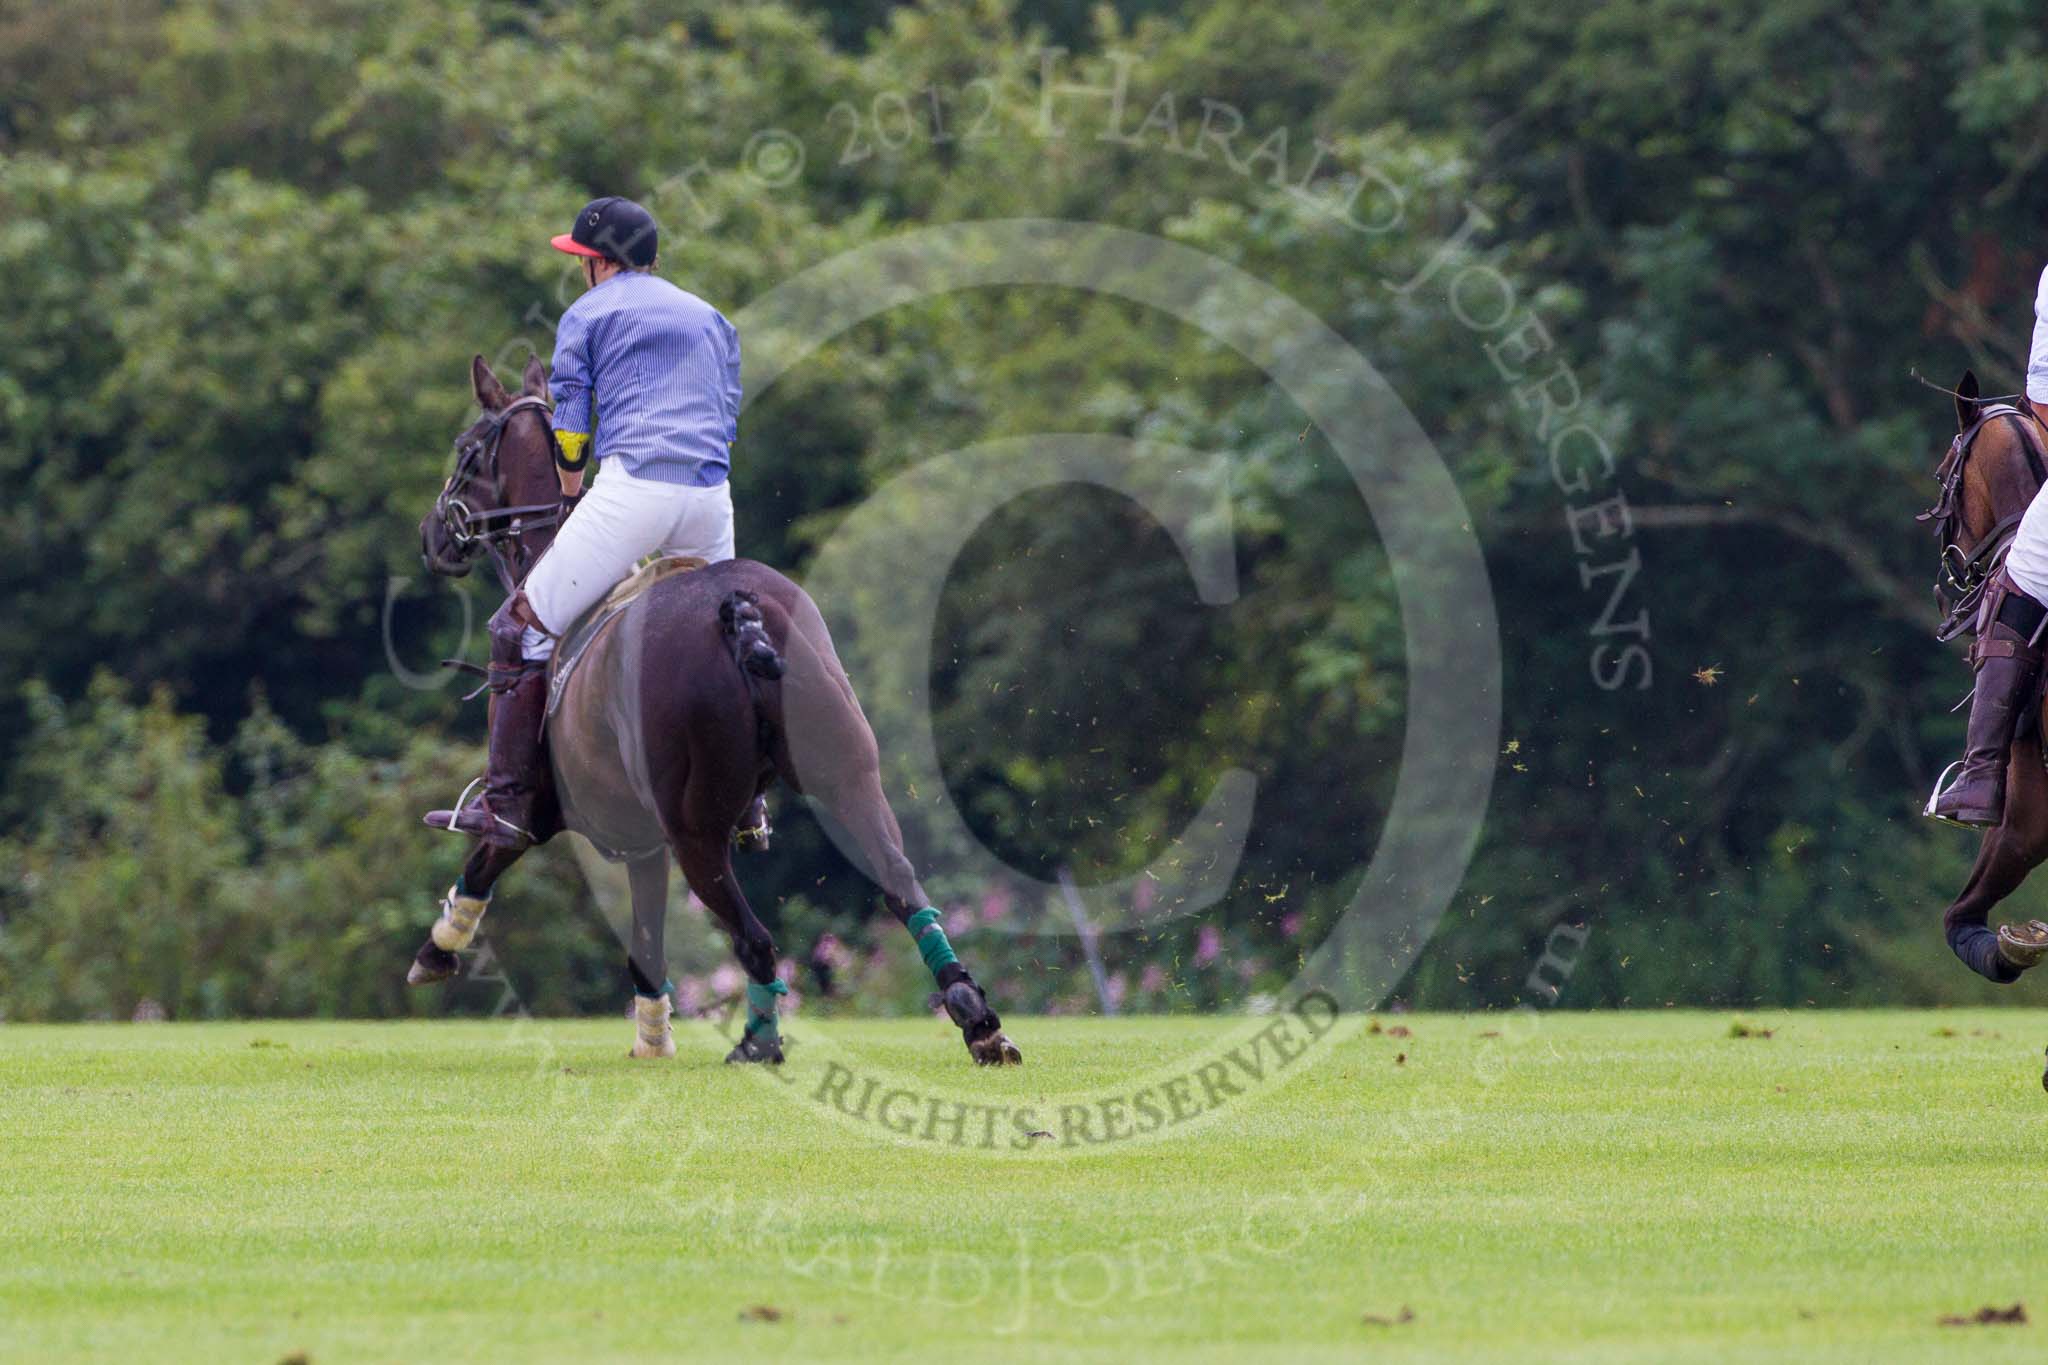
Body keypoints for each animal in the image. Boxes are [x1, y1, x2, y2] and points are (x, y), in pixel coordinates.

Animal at [407, 358, 1024, 1072]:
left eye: (465, 449)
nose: (431, 534)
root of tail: (741, 609)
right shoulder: (641, 841)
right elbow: (645, 947)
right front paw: (653, 1036)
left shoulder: (549, 814)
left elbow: (491, 854)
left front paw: (438, 948)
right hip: (846, 776)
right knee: (900, 881)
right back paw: (977, 1020)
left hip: (694, 829)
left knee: (754, 938)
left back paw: (760, 1042)